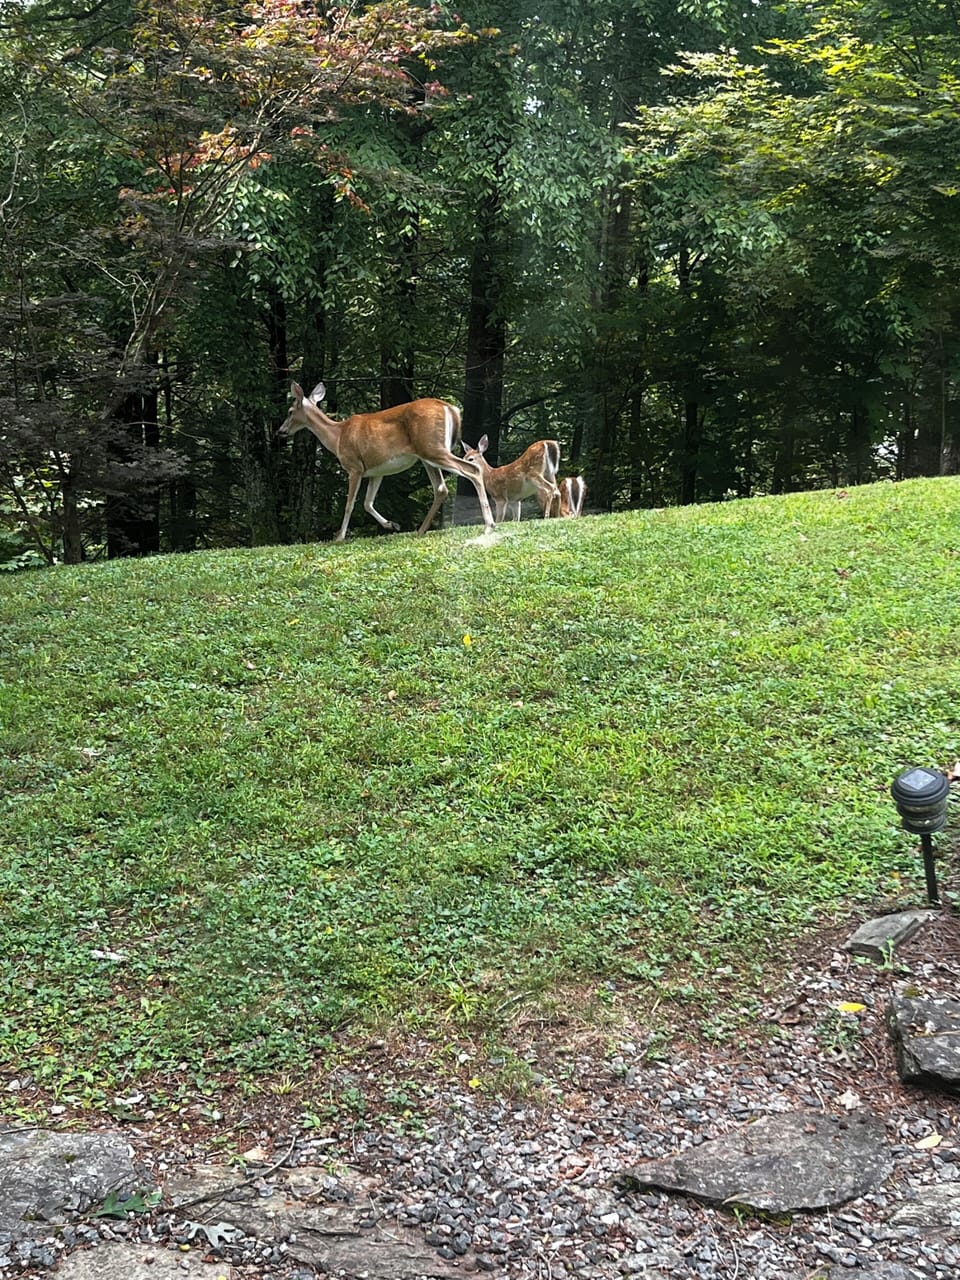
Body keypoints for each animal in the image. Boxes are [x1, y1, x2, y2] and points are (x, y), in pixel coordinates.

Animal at [277, 382, 495, 541]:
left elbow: (350, 504)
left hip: (432, 448)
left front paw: (339, 537)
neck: (337, 436)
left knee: (472, 470)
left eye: (289, 411)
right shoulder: (377, 471)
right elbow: (367, 503)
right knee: (441, 488)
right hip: (427, 455)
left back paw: (489, 525)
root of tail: (451, 408)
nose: (281, 431)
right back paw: (420, 531)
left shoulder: (354, 467)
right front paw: (392, 524)